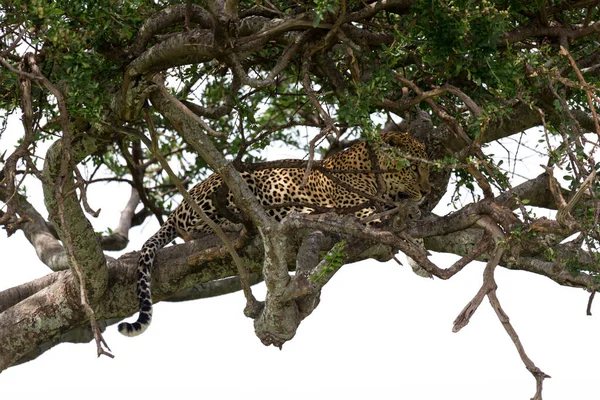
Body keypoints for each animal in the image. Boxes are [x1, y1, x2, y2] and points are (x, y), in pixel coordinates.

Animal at [117, 132, 428, 338]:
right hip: (239, 182)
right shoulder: (356, 209)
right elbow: (389, 221)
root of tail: (177, 207)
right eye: (413, 167)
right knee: (197, 229)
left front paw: (420, 255)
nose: (426, 191)